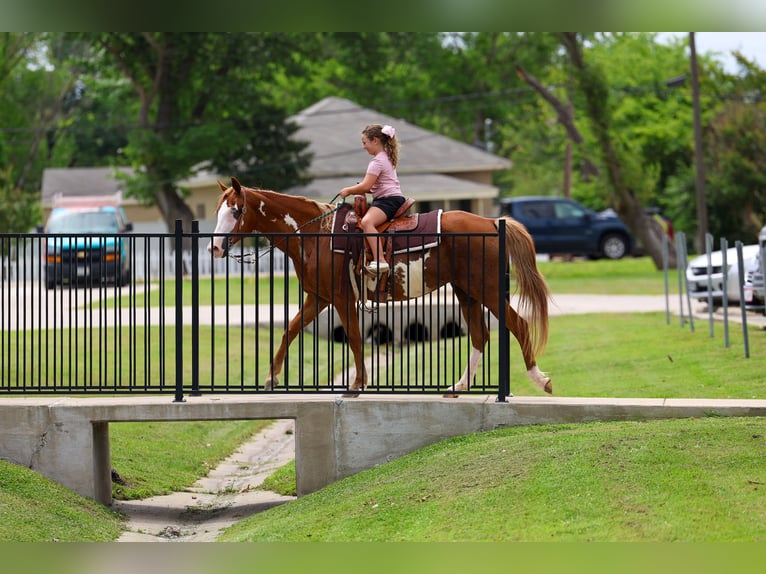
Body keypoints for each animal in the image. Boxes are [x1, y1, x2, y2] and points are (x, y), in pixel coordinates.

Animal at [207, 177, 552, 397]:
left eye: (236, 210)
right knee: (480, 336)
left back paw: (540, 379)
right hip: (466, 291)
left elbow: (355, 338)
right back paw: (459, 386)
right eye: (218, 210)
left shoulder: (341, 298)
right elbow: (290, 330)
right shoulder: (318, 297)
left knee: (518, 324)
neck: (316, 234)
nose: (214, 248)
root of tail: (492, 222)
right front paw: (271, 377)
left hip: (487, 289)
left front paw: (358, 384)